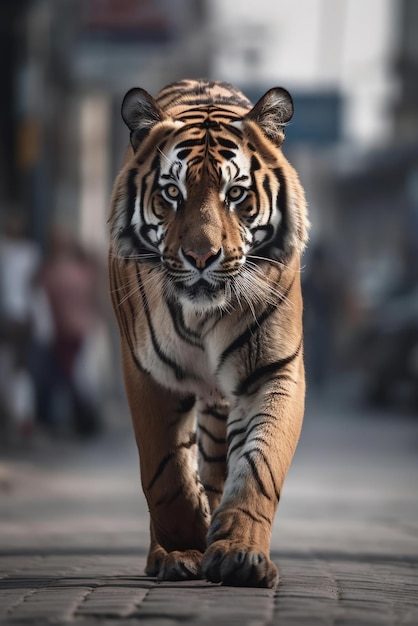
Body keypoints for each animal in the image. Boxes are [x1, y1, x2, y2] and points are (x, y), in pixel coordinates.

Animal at [109, 77, 308, 584]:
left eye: (235, 194)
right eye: (171, 192)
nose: (202, 256)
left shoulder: (273, 371)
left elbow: (259, 466)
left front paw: (239, 553)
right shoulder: (149, 374)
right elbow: (166, 473)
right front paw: (183, 548)